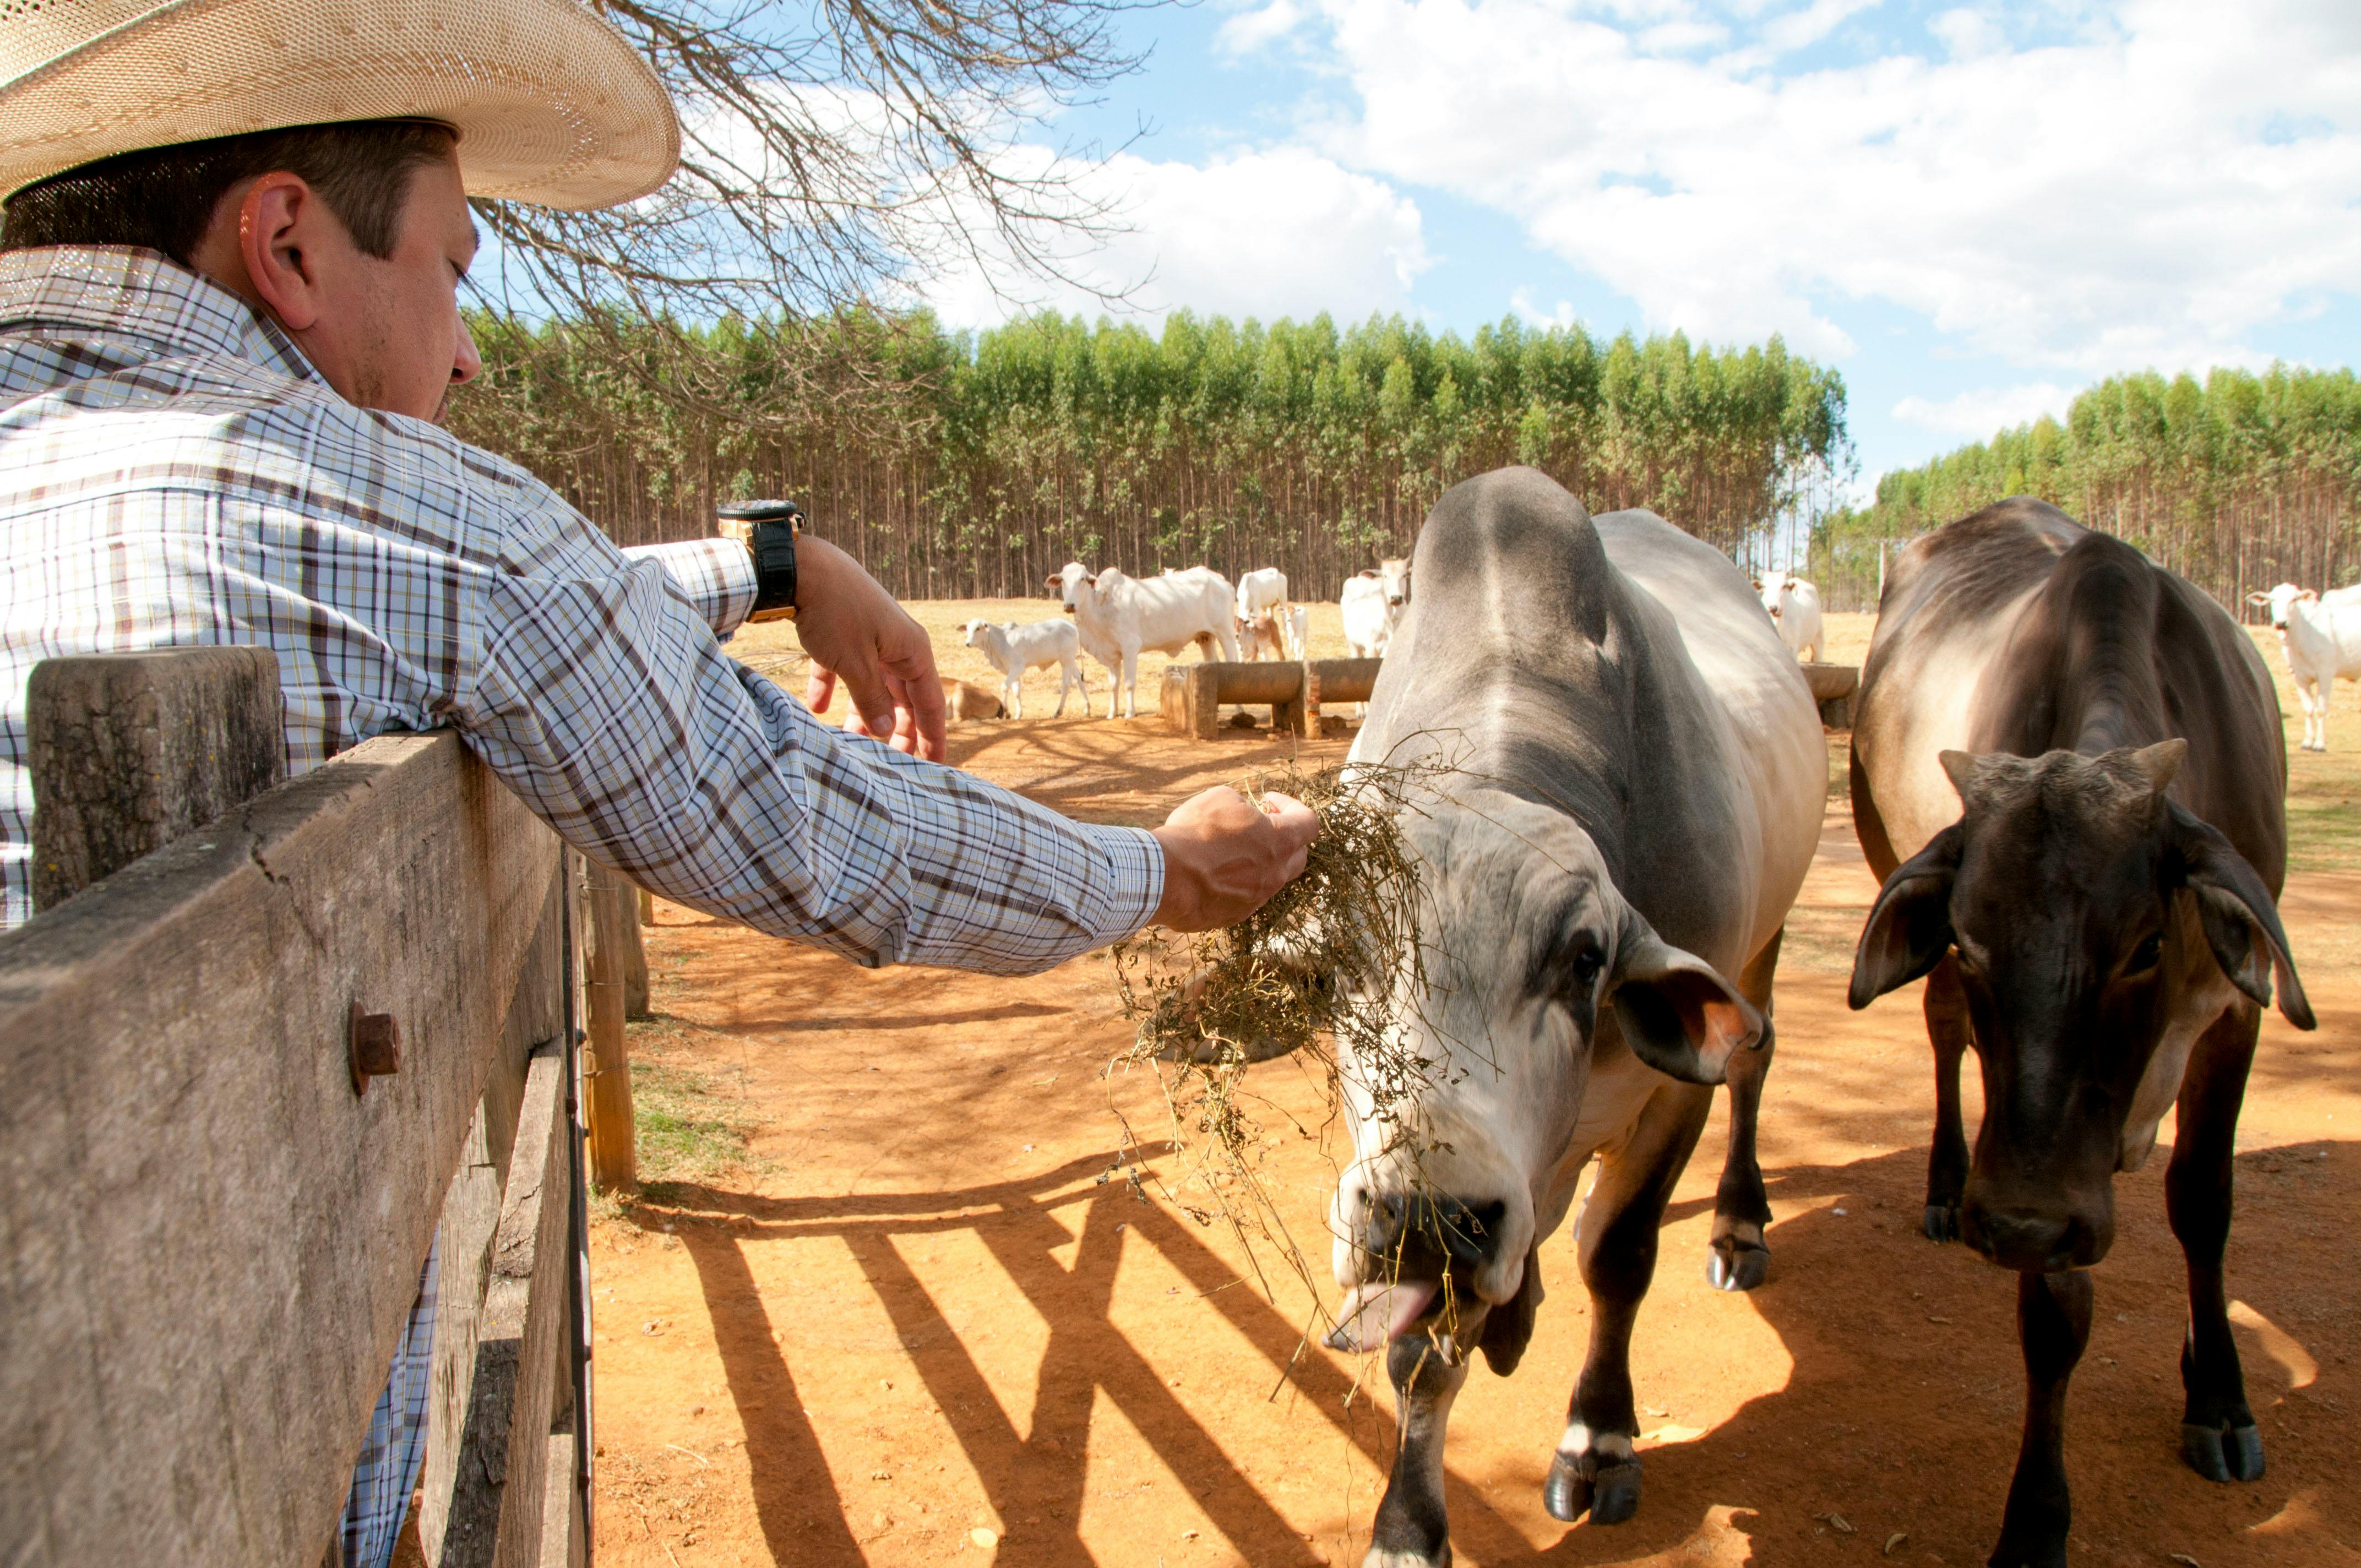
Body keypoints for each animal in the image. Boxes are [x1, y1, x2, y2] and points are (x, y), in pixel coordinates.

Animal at [961, 617, 1089, 720]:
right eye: (967, 629)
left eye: (978, 628)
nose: (967, 643)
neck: (1001, 639)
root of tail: (1071, 625)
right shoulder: (1012, 671)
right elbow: (1016, 692)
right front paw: (1018, 714)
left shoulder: (1018, 668)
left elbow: (1004, 687)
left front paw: (1006, 712)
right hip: (1071, 662)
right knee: (1079, 680)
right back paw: (1087, 709)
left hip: (1066, 661)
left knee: (1067, 684)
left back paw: (1058, 712)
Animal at [1048, 561, 1240, 719]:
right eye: (1063, 580)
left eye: (1082, 579)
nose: (1069, 606)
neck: (1102, 605)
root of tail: (1220, 580)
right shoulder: (1112, 654)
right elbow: (1113, 685)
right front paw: (1112, 713)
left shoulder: (1130, 647)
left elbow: (1129, 684)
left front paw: (1129, 713)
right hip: (1205, 638)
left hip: (1226, 634)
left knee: (1233, 663)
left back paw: (1238, 711)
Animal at [1848, 498, 2315, 1568]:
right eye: (1972, 940)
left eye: (2145, 945)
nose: (2016, 1224)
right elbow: (2055, 1311)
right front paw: (2034, 1519)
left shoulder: (2233, 1016)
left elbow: (2204, 1204)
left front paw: (2218, 1395)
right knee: (1941, 1033)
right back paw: (1945, 1185)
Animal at [2244, 581, 2361, 751]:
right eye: (2272, 600)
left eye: (2294, 600)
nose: (2281, 623)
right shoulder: (2298, 677)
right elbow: (2308, 709)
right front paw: (2307, 742)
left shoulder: (2326, 674)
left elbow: (2321, 710)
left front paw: (2319, 744)